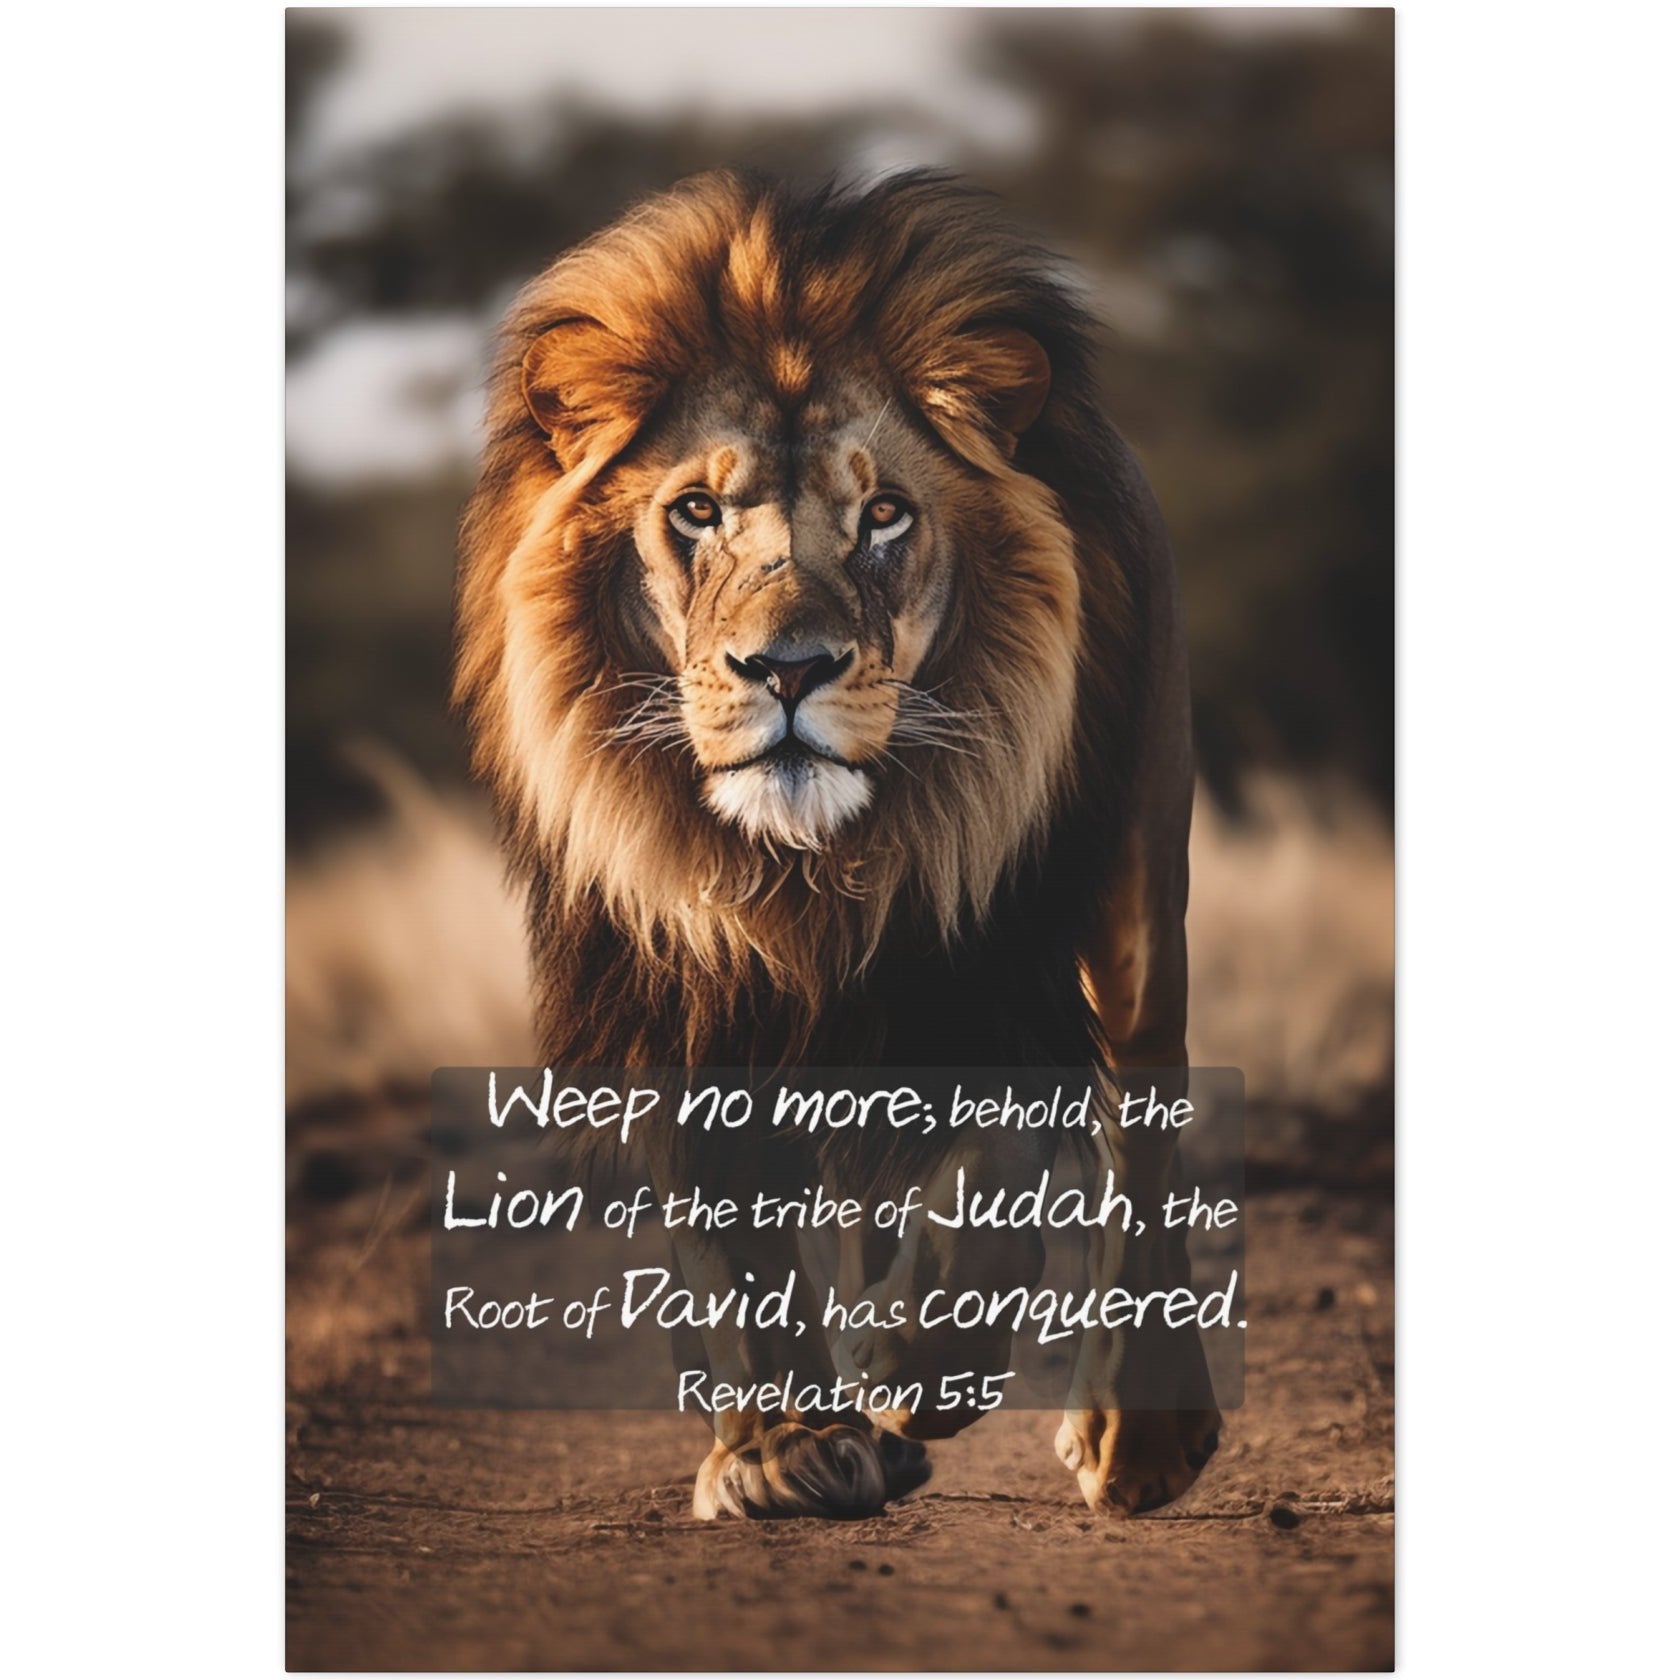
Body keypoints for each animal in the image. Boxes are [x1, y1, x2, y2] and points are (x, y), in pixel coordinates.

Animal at [454, 170, 1221, 1521]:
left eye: (885, 516)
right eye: (695, 511)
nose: (790, 667)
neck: (813, 872)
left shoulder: (996, 956)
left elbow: (996, 1173)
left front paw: (919, 1365)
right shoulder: (680, 976)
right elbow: (732, 1234)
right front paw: (785, 1447)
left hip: (1131, 899)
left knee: (1140, 1110)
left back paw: (1128, 1436)